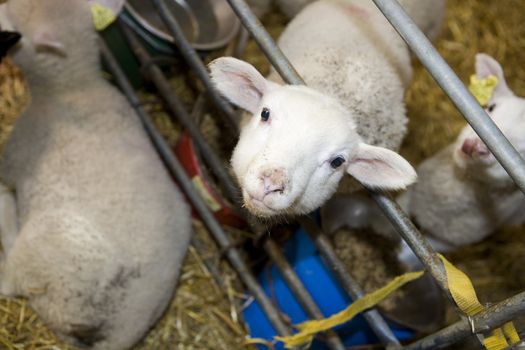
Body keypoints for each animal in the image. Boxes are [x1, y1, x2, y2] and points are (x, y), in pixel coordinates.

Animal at [0, 0, 191, 350]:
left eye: (12, 22)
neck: (74, 87)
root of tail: (114, 330)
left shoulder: (16, 154)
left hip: (45, 251)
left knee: (8, 282)